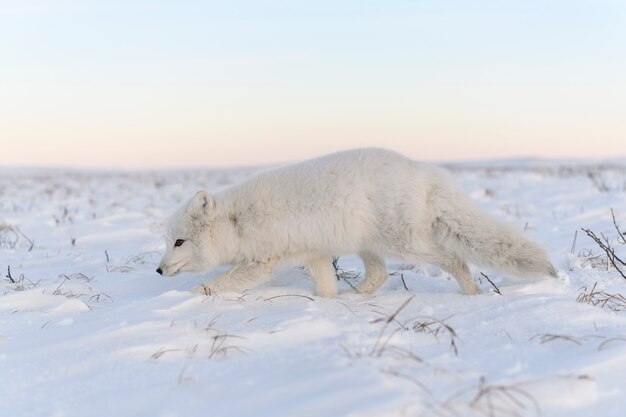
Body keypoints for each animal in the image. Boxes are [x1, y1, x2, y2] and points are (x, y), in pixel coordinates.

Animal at [156, 148, 556, 294]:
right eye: (168, 241)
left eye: (179, 242)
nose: (158, 270)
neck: (237, 221)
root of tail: (425, 171)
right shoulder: (314, 254)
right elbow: (324, 287)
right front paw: (327, 305)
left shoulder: (260, 263)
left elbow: (210, 287)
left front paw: (180, 303)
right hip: (370, 245)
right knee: (378, 275)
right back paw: (358, 298)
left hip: (404, 243)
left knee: (454, 259)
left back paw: (472, 294)